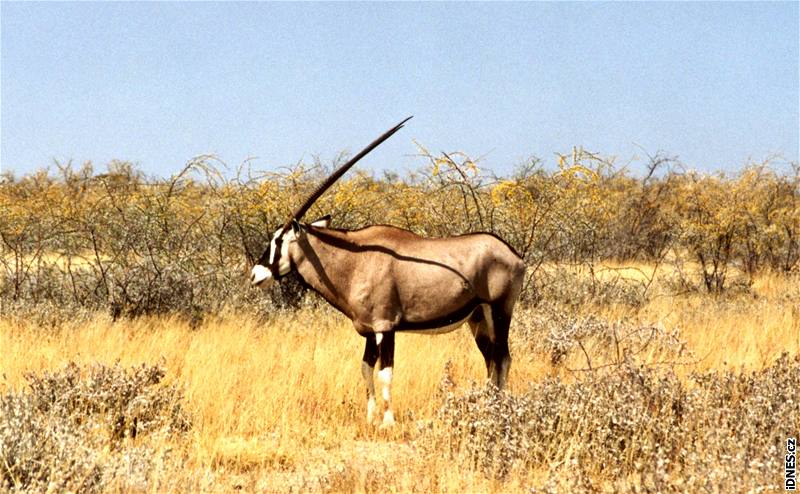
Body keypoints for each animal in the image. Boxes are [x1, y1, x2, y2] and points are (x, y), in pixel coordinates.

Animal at [250, 117, 524, 426]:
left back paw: (498, 409)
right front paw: (370, 418)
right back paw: (488, 405)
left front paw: (388, 421)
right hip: (477, 317)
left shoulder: (385, 327)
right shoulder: (369, 330)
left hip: (500, 310)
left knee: (502, 358)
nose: (256, 274)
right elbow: (366, 369)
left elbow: (385, 372)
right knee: (490, 358)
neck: (353, 260)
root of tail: (513, 255)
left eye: (279, 240)